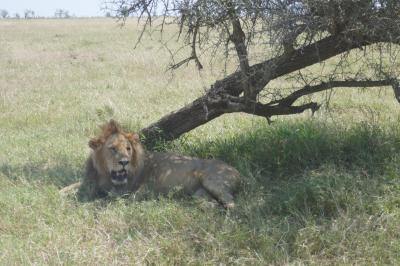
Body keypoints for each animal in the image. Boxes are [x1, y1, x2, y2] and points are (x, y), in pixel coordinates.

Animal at [59, 119, 241, 209]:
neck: (104, 175)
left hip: (212, 182)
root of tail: (236, 171)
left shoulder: (128, 193)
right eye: (112, 149)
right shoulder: (89, 182)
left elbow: (105, 201)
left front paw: (84, 204)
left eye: (128, 149)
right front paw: (58, 193)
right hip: (200, 195)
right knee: (211, 204)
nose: (124, 162)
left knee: (231, 203)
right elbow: (68, 188)